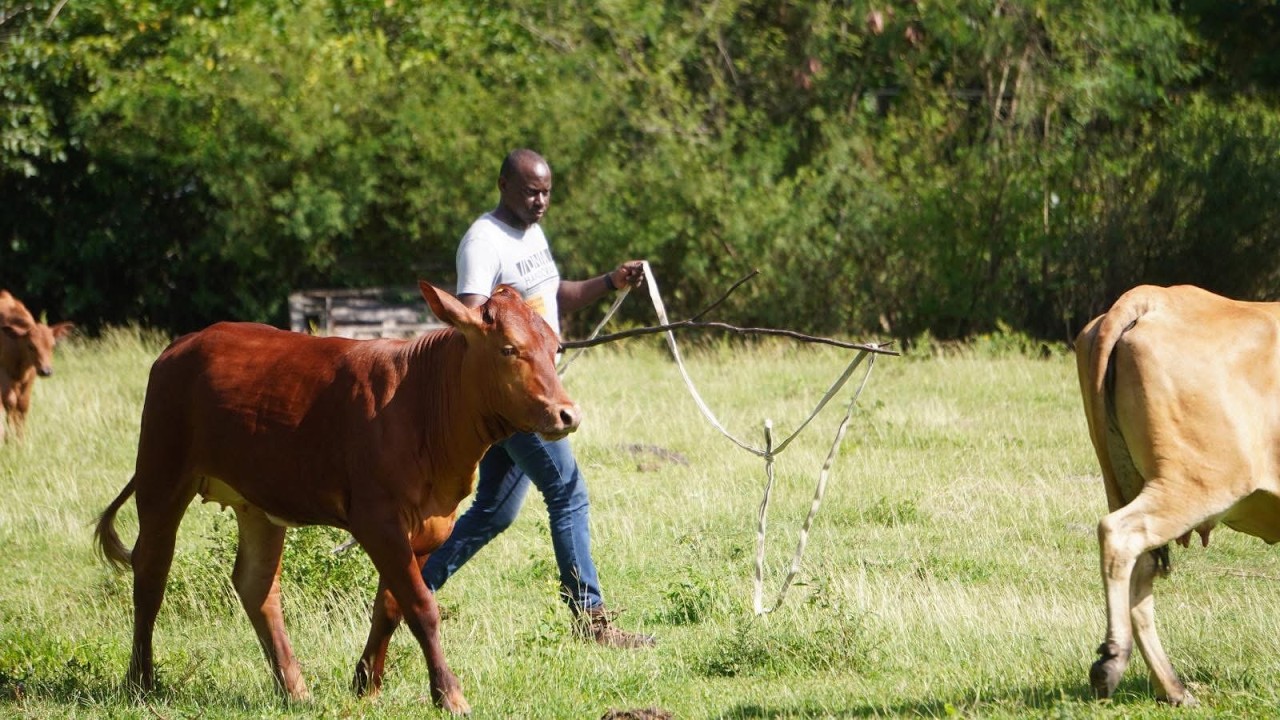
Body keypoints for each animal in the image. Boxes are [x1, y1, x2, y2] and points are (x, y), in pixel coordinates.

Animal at [0, 290, 74, 443]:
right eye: (31, 346)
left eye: (52, 345)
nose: (46, 371)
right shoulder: (3, 373)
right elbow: (10, 402)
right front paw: (10, 438)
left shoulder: (31, 374)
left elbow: (23, 404)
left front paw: (20, 439)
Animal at [94, 282, 580, 715]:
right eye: (508, 349)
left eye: (555, 347)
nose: (567, 413)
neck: (423, 407)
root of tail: (184, 344)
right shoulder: (377, 519)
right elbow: (422, 606)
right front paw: (449, 694)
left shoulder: (431, 525)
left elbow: (391, 606)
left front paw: (366, 685)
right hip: (162, 474)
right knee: (151, 573)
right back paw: (141, 680)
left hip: (258, 504)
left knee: (256, 585)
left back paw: (294, 688)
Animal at [1075, 283, 1280, 706]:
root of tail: (1154, 296)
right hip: (1197, 481)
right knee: (1119, 534)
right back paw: (1112, 660)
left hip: (1124, 479)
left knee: (1142, 567)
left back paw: (1173, 688)